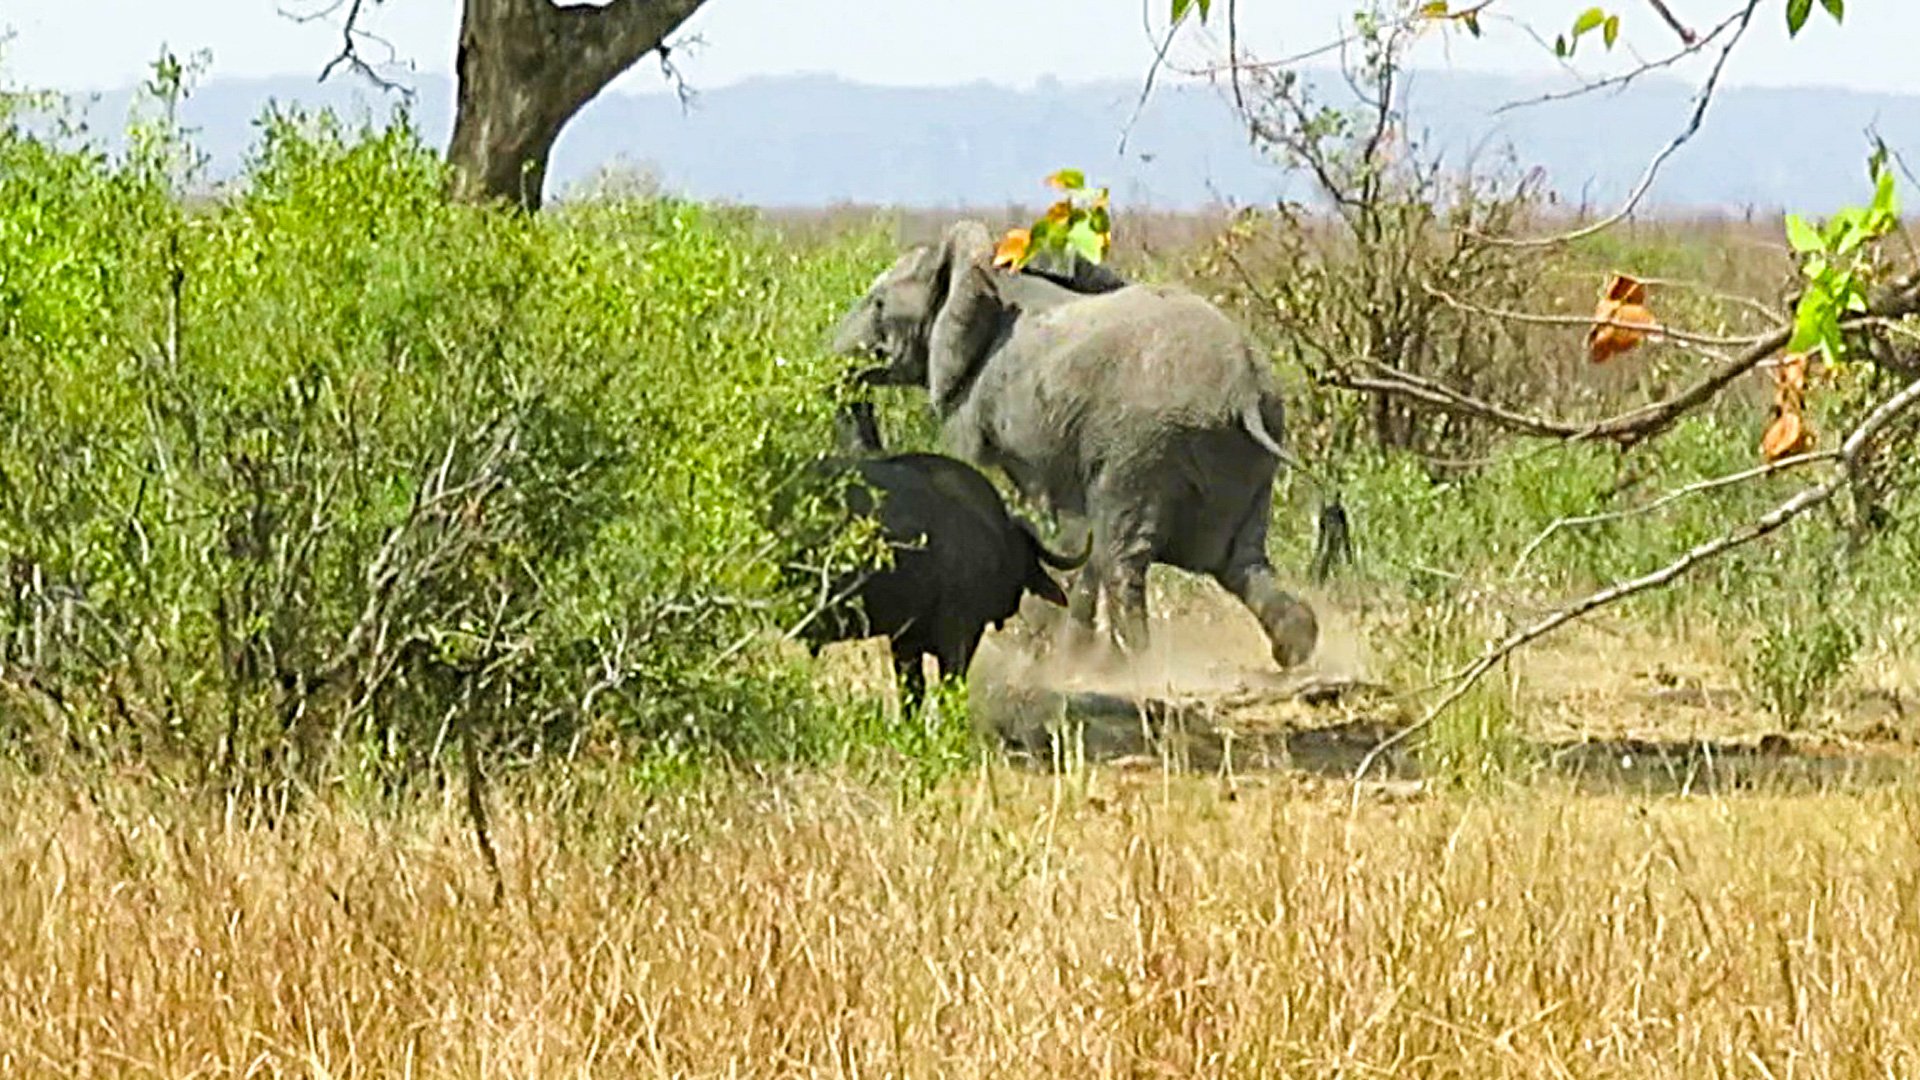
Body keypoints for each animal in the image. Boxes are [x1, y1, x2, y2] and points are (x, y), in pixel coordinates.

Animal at [829, 220, 1319, 671]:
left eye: (878, 304)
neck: (988, 274)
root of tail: (1244, 387)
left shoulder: (984, 397)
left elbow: (1004, 485)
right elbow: (1074, 528)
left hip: (1146, 446)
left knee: (1122, 552)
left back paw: (1131, 663)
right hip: (1243, 457)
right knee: (1239, 560)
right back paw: (1294, 646)